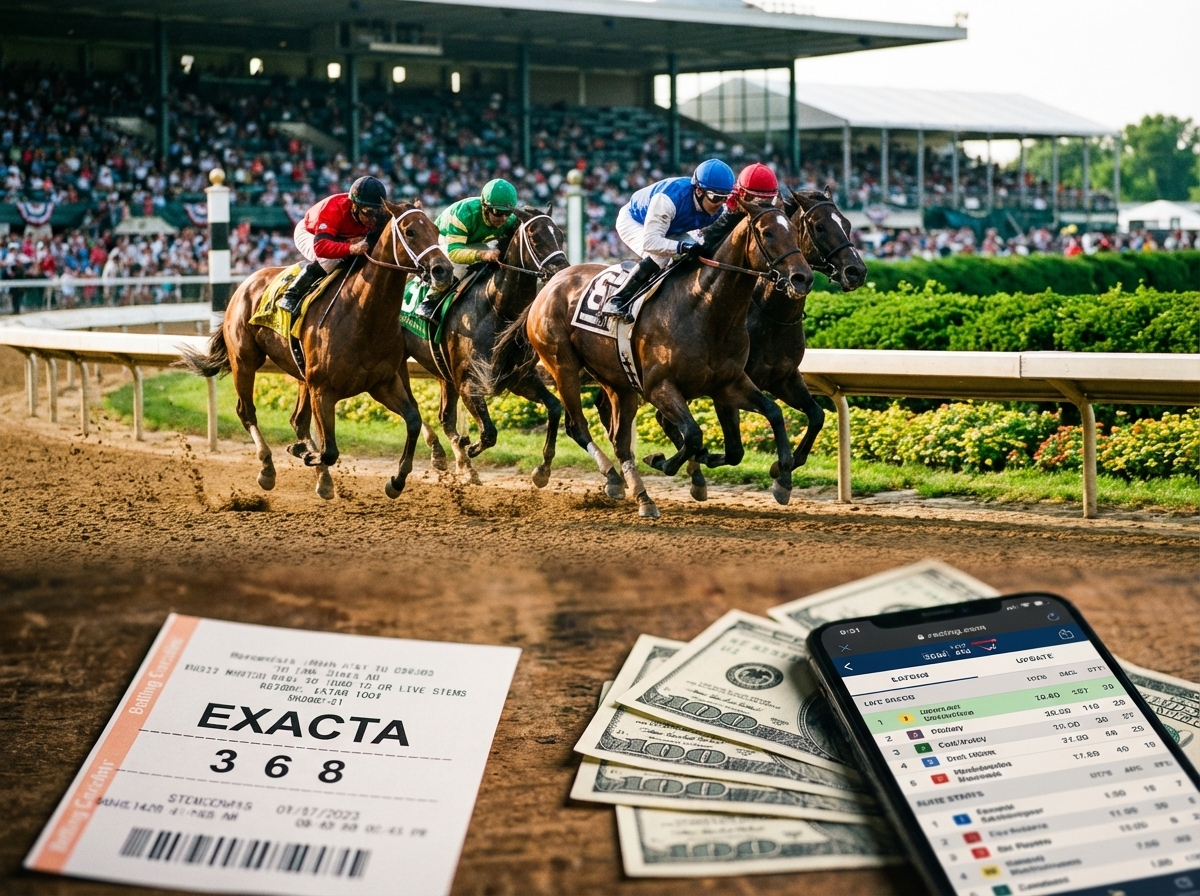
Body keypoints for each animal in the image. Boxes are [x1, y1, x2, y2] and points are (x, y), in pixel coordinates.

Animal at [177, 199, 452, 500]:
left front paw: (397, 480)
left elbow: (413, 419)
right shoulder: (323, 388)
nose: (443, 270)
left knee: (298, 420)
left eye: (436, 229)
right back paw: (268, 468)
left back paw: (316, 469)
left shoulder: (383, 383)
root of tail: (245, 284)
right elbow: (330, 450)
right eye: (410, 231)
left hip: (300, 372)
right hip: (245, 360)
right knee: (246, 412)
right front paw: (308, 455)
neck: (363, 315)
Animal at [406, 207, 569, 486]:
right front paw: (470, 447)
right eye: (535, 237)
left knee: (444, 418)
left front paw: (542, 470)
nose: (563, 270)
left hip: (442, 372)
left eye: (560, 234)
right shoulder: (468, 383)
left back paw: (449, 457)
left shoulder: (518, 378)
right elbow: (489, 433)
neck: (496, 308)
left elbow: (555, 407)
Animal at [492, 196, 814, 519]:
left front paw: (783, 478)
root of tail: (550, 284)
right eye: (767, 233)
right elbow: (693, 434)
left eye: (794, 231)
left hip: (617, 381)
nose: (803, 278)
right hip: (563, 366)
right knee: (578, 426)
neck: (705, 310)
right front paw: (662, 460)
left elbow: (770, 415)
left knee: (620, 441)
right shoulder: (659, 387)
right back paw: (590, 476)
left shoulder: (728, 383)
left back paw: (639, 495)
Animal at [637, 186, 867, 503]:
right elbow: (734, 448)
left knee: (664, 418)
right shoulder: (727, 386)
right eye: (819, 226)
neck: (770, 315)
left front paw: (782, 471)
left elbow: (817, 415)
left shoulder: (784, 377)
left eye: (846, 223)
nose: (856, 271)